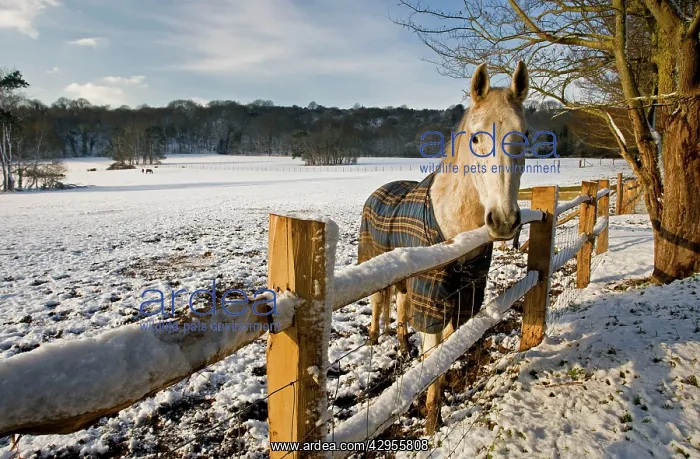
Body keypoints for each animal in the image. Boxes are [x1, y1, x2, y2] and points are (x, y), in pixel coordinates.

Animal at [358, 61, 530, 431]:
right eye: (476, 137)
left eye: (522, 136)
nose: (504, 221)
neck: (455, 233)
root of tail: (379, 190)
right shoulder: (433, 299)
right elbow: (434, 354)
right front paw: (432, 420)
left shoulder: (464, 297)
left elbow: (448, 349)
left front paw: (442, 398)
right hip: (375, 261)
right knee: (378, 304)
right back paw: (374, 339)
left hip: (408, 280)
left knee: (401, 308)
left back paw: (401, 346)